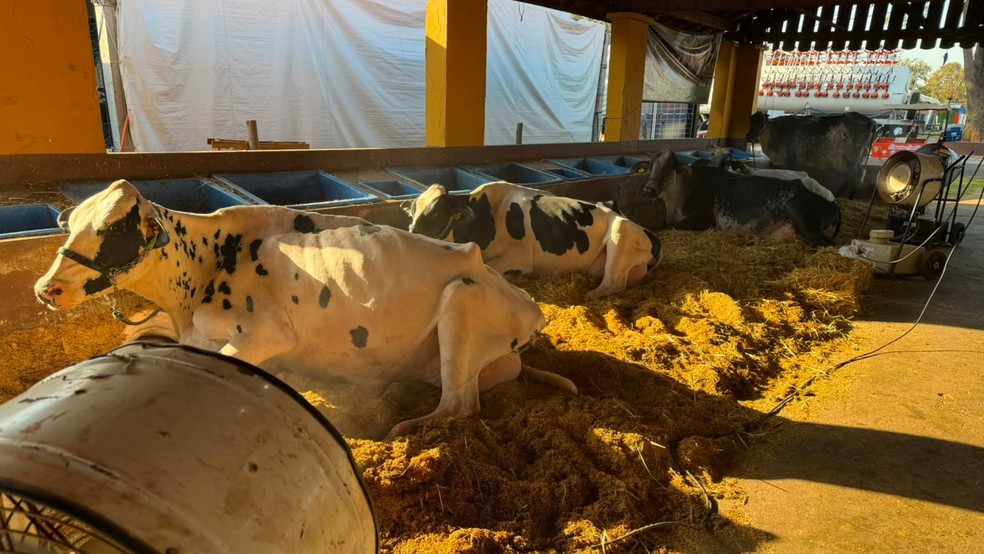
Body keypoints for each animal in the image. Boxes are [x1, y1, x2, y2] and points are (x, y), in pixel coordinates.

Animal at [34, 180, 575, 437]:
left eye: (111, 230)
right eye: (71, 225)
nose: (46, 289)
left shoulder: (265, 333)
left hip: (461, 302)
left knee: (459, 405)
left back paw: (403, 427)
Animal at [404, 181, 662, 298]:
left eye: (437, 214)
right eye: (412, 212)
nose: (411, 234)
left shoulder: (518, 260)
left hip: (620, 233)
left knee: (612, 284)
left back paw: (587, 294)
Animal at [645, 150, 842, 246]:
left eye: (670, 165)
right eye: (650, 164)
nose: (649, 189)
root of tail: (832, 205)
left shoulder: (705, 219)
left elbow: (668, 228)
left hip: (805, 222)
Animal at [745, 111, 877, 199]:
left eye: (762, 122)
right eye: (750, 122)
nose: (749, 136)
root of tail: (871, 121)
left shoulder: (791, 159)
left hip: (851, 158)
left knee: (857, 176)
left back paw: (850, 198)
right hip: (844, 161)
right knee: (850, 177)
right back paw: (838, 194)